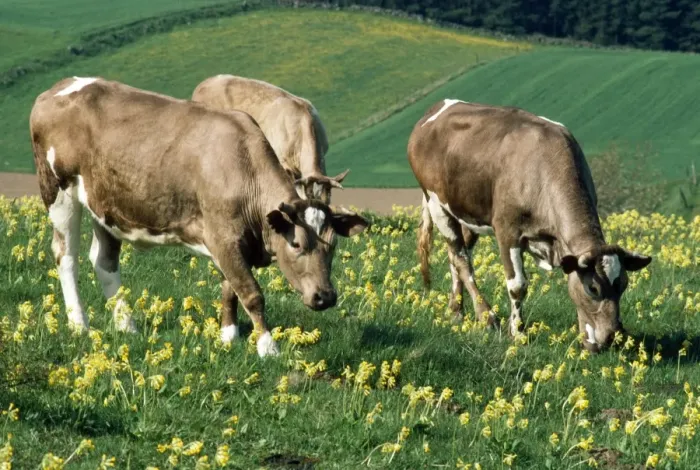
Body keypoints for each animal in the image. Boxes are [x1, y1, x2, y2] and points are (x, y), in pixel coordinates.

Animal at [408, 99, 652, 353]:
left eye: (623, 284)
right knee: (461, 259)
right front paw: (517, 333)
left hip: (468, 213)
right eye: (592, 288)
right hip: (436, 203)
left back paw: (456, 311)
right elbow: (517, 285)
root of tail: (438, 107)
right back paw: (487, 317)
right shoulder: (507, 232)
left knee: (456, 256)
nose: (613, 337)